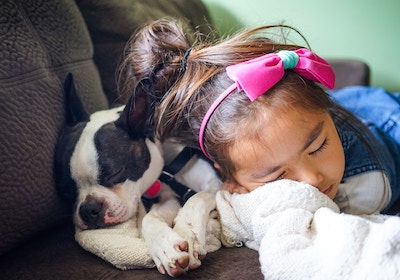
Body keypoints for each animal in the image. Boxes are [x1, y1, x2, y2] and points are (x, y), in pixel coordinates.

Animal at [54, 75, 220, 278]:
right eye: (66, 192)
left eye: (114, 173)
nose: (88, 209)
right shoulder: (166, 196)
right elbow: (149, 218)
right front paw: (164, 247)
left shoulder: (216, 183)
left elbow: (197, 199)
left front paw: (189, 234)